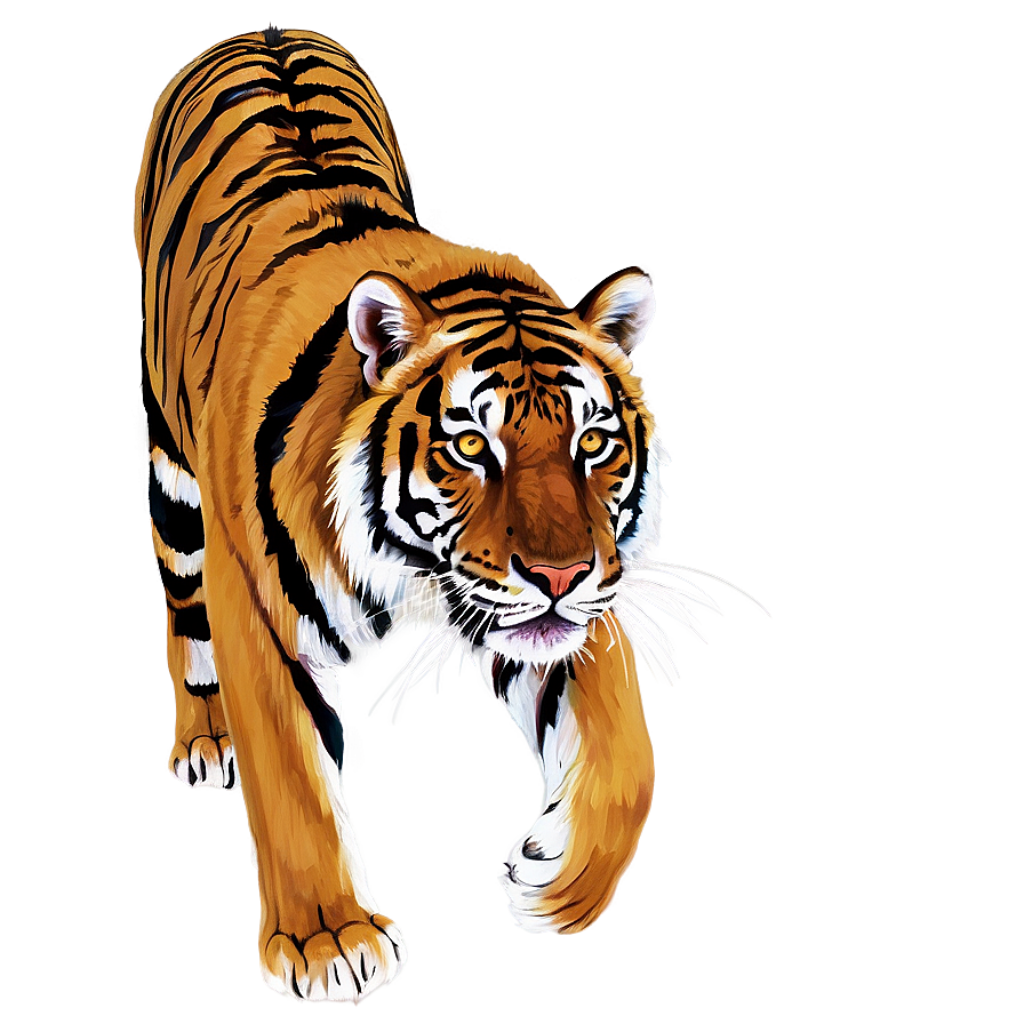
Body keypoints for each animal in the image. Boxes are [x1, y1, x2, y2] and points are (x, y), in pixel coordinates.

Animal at [134, 26, 770, 1004]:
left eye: (593, 443)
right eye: (473, 446)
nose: (559, 574)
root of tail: (261, 28)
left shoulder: (557, 617)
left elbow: (629, 766)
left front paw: (553, 882)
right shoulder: (258, 613)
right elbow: (292, 781)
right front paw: (328, 943)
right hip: (173, 478)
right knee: (181, 604)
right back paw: (206, 739)